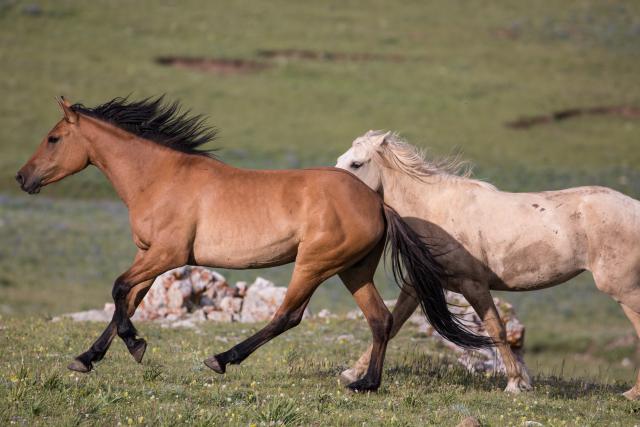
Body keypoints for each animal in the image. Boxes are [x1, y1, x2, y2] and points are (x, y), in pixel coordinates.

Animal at [15, 97, 492, 392]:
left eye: (53, 138)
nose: (22, 178)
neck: (161, 178)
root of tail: (377, 202)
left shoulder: (168, 255)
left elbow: (118, 290)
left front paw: (135, 346)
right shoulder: (148, 254)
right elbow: (126, 301)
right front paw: (87, 358)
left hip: (315, 263)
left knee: (288, 316)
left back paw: (223, 358)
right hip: (353, 270)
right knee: (380, 320)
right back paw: (365, 384)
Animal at [336, 130, 640, 399]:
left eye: (356, 163)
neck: (437, 211)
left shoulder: (474, 285)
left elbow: (496, 329)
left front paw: (516, 383)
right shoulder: (417, 285)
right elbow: (394, 322)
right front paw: (352, 373)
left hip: (624, 291)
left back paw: (632, 394)